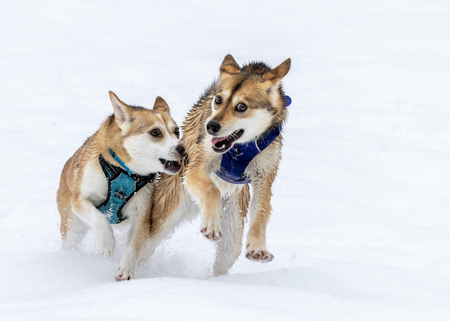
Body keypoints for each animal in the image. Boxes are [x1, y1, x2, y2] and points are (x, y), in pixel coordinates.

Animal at [56, 90, 183, 258]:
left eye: (176, 131)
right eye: (155, 132)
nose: (183, 148)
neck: (125, 170)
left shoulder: (141, 213)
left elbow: (133, 248)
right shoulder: (79, 199)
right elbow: (99, 217)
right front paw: (106, 243)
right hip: (72, 226)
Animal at [117, 55, 292, 280]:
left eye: (241, 106)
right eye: (218, 100)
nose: (211, 126)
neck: (239, 148)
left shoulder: (265, 176)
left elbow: (262, 212)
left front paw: (257, 247)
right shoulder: (196, 167)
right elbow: (211, 190)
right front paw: (210, 225)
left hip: (233, 230)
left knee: (226, 255)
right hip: (164, 218)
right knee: (142, 249)